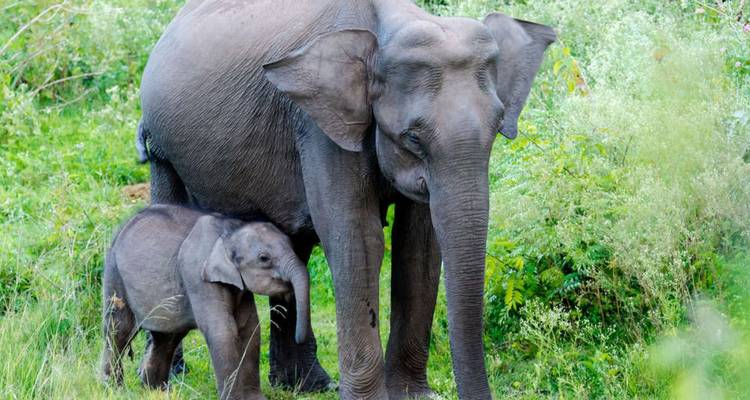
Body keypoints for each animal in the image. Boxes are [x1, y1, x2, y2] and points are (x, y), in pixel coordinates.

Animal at [101, 205, 310, 400]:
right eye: (264, 258)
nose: (299, 337)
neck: (229, 231)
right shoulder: (198, 276)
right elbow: (223, 331)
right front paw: (234, 399)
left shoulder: (239, 287)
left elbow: (250, 329)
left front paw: (255, 399)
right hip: (114, 274)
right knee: (118, 329)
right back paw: (113, 389)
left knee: (166, 338)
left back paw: (155, 391)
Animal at [137, 0, 555, 398]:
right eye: (413, 138)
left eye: (498, 128)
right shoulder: (319, 126)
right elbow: (359, 237)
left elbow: (419, 244)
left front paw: (414, 396)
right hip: (162, 143)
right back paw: (171, 378)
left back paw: (307, 386)